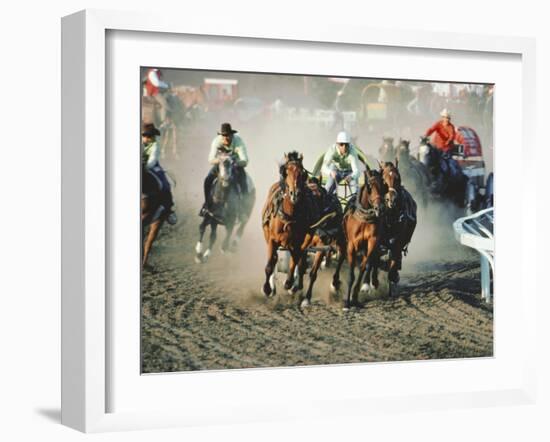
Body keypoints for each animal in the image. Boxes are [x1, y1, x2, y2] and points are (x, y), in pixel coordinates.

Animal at [260, 151, 308, 296]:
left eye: (302, 173)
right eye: (286, 171)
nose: (295, 194)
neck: (288, 216)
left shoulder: (297, 244)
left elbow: (294, 262)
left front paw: (289, 283)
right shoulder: (272, 240)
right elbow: (269, 266)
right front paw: (267, 288)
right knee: (274, 259)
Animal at [342, 167, 386, 310]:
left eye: (384, 185)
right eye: (369, 186)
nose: (380, 208)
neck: (364, 218)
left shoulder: (373, 241)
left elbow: (363, 267)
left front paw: (356, 296)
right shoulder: (351, 245)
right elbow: (351, 275)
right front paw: (347, 303)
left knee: (372, 261)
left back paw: (372, 282)